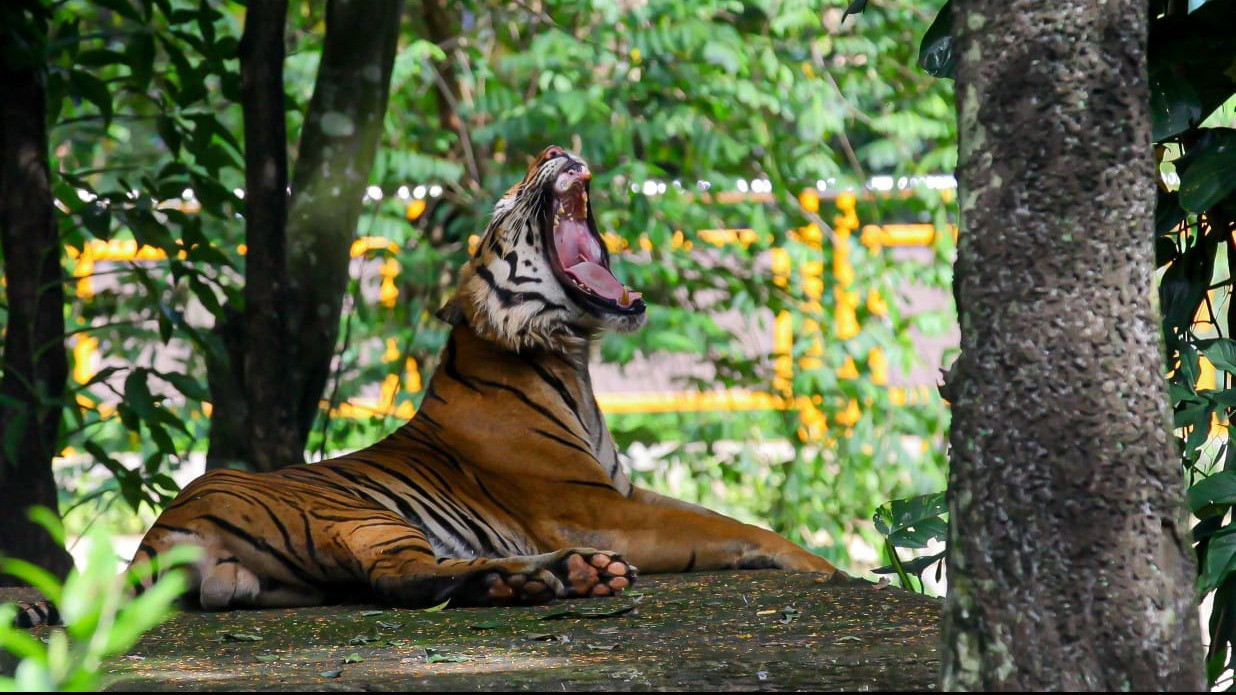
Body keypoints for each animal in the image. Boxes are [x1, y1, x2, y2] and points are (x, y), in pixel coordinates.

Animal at [12, 143, 840, 625]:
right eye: (506, 203)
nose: (553, 148)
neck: (569, 358)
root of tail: (157, 532)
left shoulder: (621, 492)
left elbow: (722, 520)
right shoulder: (596, 508)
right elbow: (734, 526)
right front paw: (826, 568)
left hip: (282, 579)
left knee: (400, 581)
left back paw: (548, 580)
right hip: (363, 515)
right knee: (403, 578)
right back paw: (557, 577)